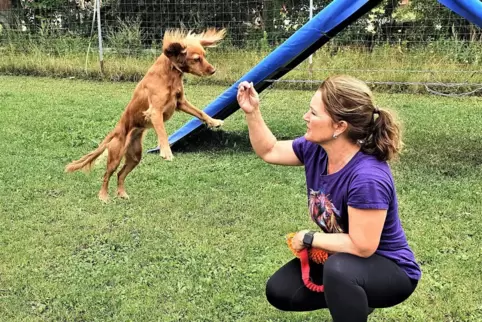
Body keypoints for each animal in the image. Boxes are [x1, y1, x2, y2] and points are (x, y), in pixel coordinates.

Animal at [64, 28, 228, 203]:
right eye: (196, 59)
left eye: (205, 55)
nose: (213, 70)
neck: (169, 73)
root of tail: (116, 131)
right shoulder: (155, 112)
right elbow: (162, 133)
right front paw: (166, 152)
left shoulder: (180, 102)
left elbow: (200, 112)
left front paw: (214, 121)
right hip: (116, 155)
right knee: (107, 175)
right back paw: (103, 196)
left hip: (135, 156)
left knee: (120, 174)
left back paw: (122, 193)